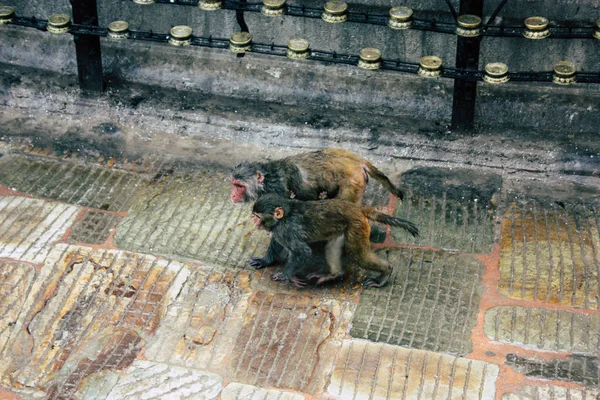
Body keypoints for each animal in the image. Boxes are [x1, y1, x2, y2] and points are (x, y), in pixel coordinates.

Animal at [251, 194, 420, 288]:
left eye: (258, 217)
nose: (254, 222)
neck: (285, 216)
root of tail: (357, 208)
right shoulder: (279, 230)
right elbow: (277, 242)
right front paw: (265, 261)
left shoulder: (286, 229)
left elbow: (303, 251)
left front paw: (287, 275)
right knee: (333, 246)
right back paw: (334, 274)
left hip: (356, 226)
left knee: (358, 256)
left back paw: (386, 272)